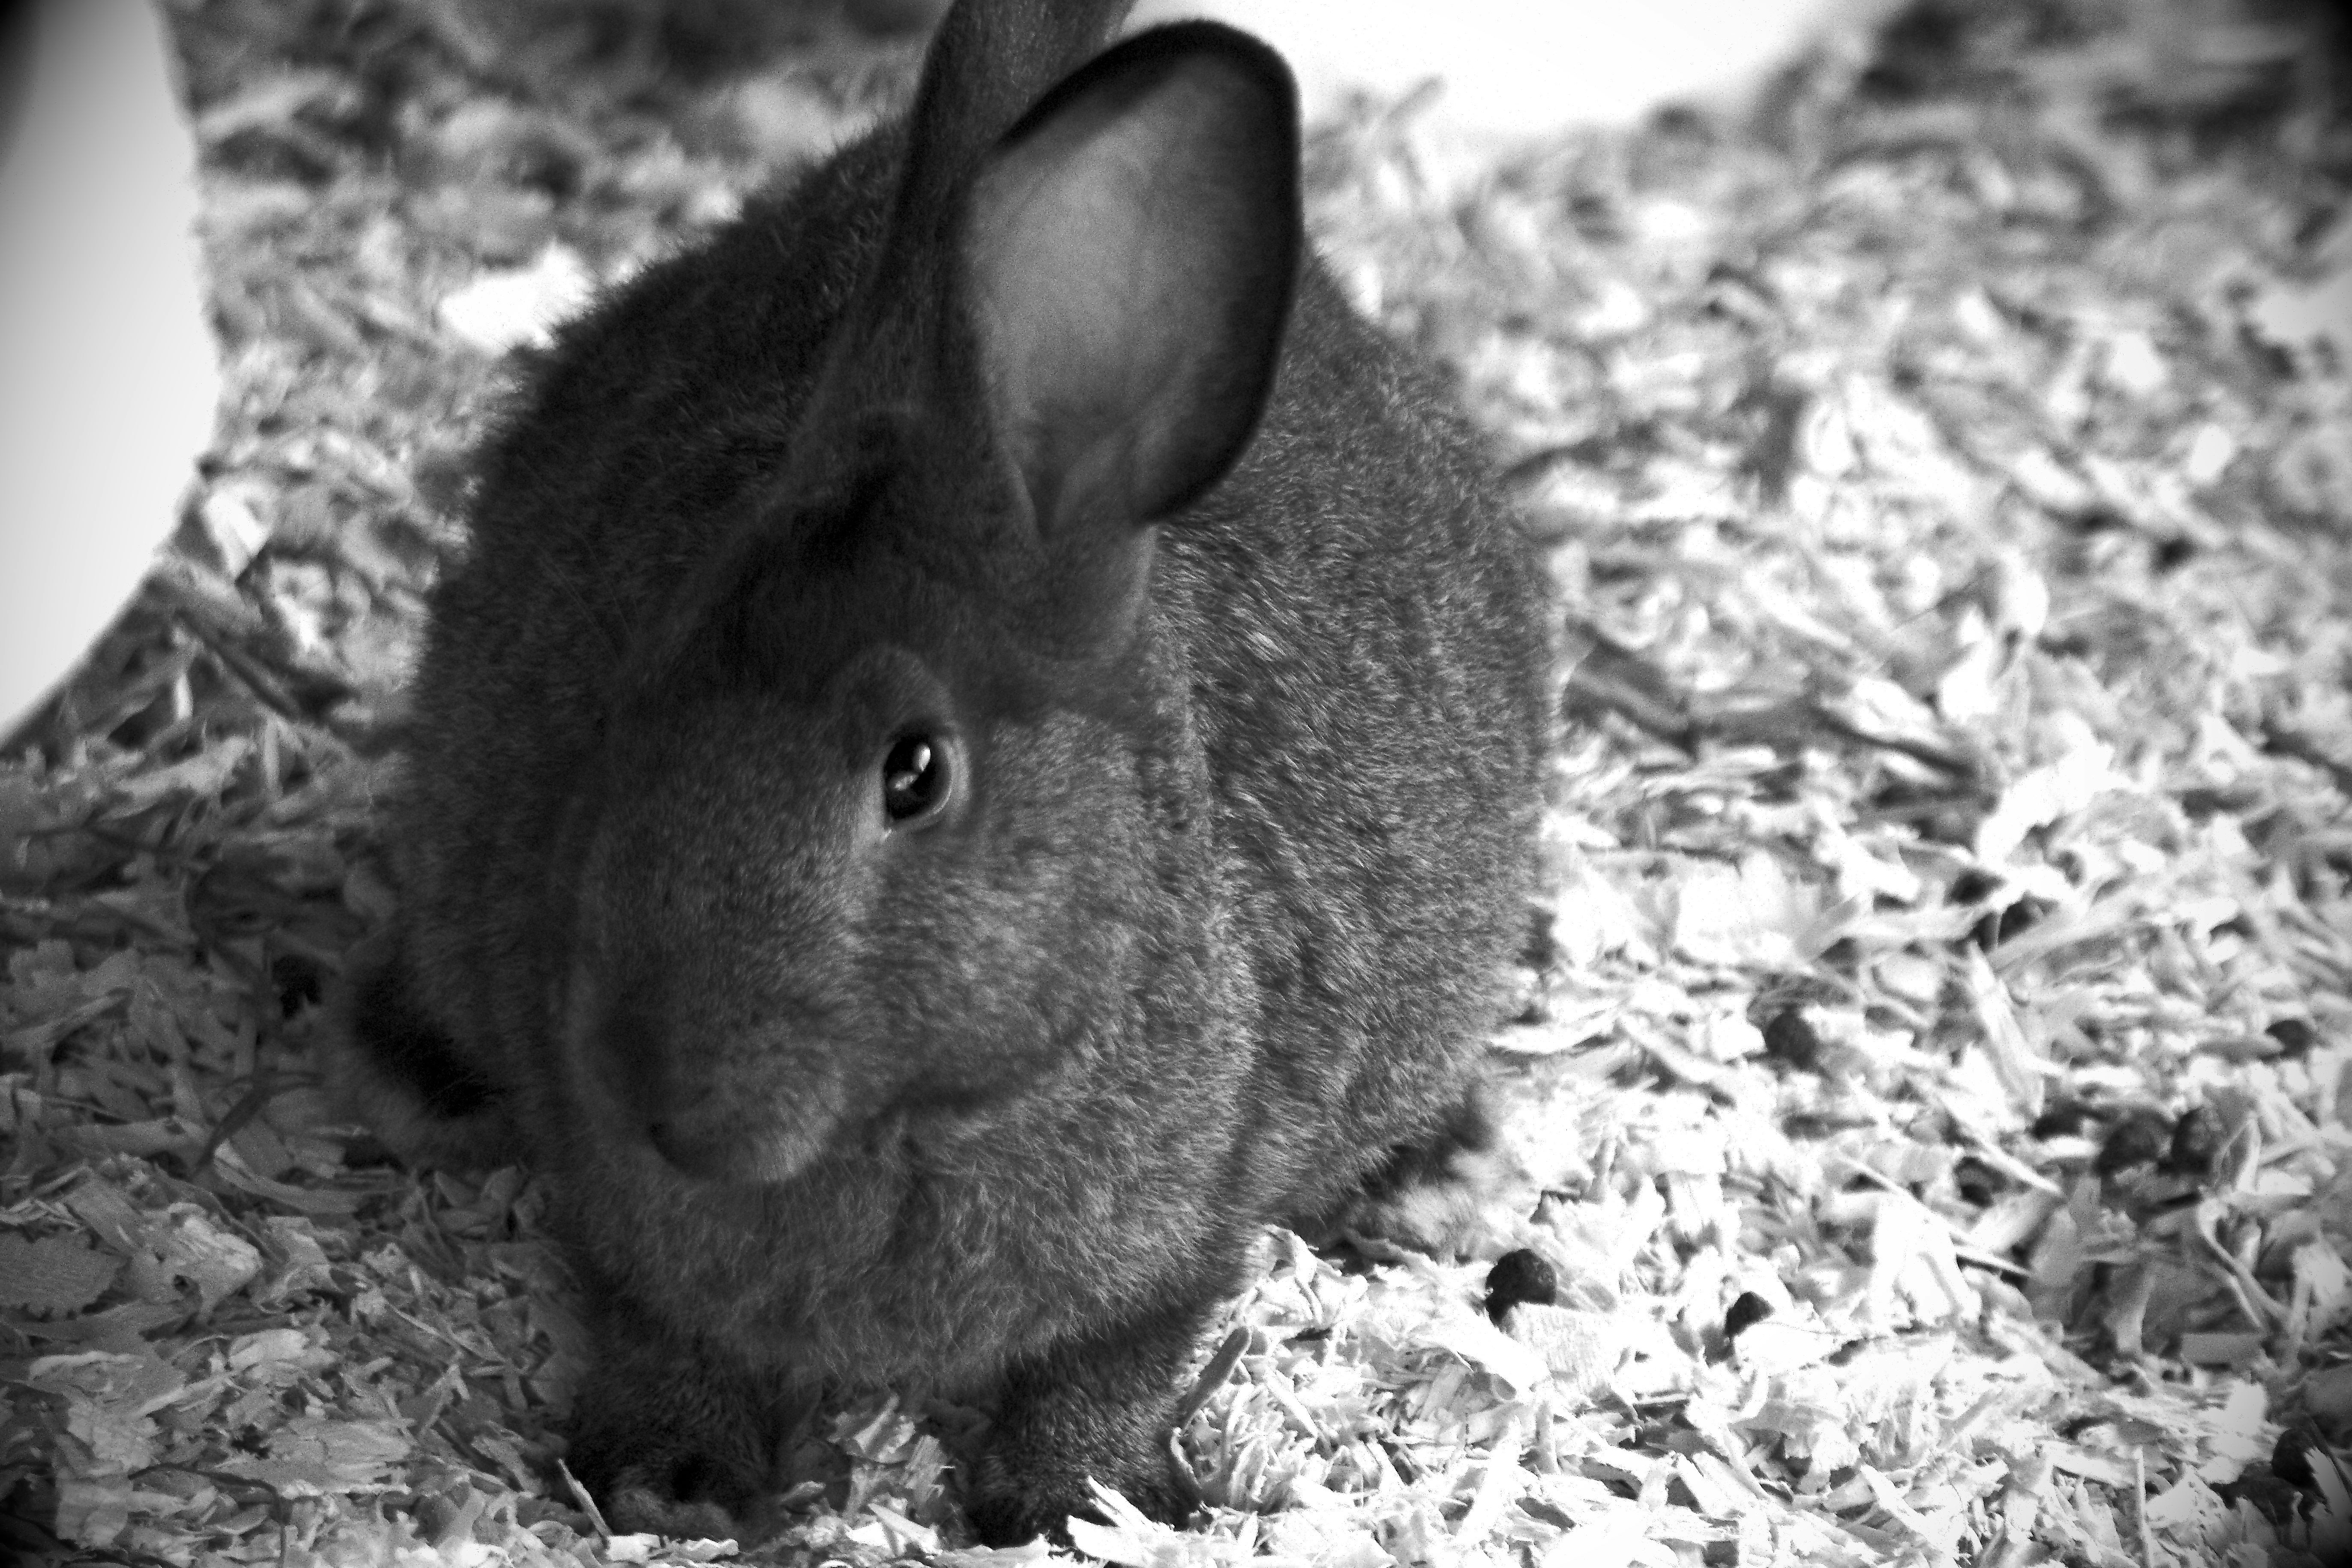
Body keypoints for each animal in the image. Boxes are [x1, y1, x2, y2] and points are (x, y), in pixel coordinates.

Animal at [330, 0, 1551, 1545]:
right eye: (632, 702)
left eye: (914, 773)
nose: (665, 1093)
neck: (919, 1116)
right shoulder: (621, 1215)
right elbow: (657, 1320)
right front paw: (669, 1474)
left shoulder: (1187, 1233)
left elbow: (1115, 1359)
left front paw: (1073, 1501)